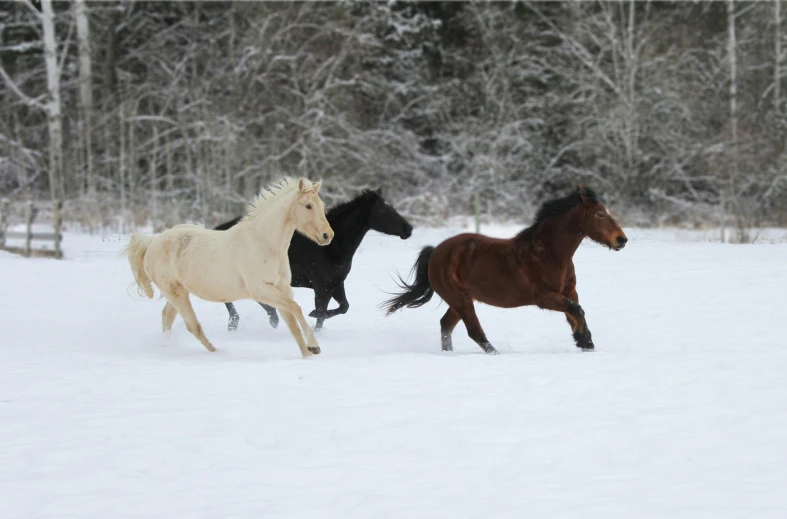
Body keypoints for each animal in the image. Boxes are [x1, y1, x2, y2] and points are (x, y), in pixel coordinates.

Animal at [121, 178, 334, 358]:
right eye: (308, 205)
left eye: (322, 205)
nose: (327, 235)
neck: (264, 243)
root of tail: (152, 242)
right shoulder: (261, 290)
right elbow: (296, 308)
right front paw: (314, 347)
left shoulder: (282, 289)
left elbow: (292, 322)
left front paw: (308, 353)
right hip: (176, 293)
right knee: (192, 325)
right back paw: (217, 353)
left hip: (178, 292)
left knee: (167, 317)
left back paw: (167, 346)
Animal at [212, 189, 416, 332]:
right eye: (383, 209)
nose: (408, 229)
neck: (332, 247)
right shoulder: (321, 287)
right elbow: (321, 314)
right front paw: (313, 321)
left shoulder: (336, 284)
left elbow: (343, 307)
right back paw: (242, 321)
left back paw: (267, 318)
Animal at [382, 186, 628, 354]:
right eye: (600, 214)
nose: (622, 240)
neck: (551, 253)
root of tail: (435, 252)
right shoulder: (545, 298)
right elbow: (577, 311)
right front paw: (584, 341)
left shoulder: (568, 291)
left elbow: (575, 312)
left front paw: (585, 342)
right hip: (460, 299)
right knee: (474, 331)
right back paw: (496, 353)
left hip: (461, 300)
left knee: (446, 325)